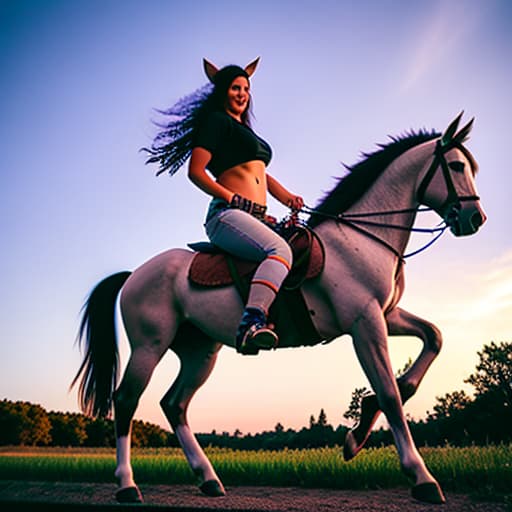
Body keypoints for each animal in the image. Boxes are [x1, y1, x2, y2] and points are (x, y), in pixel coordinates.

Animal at [71, 113, 484, 504]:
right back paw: (127, 485)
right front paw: (420, 476)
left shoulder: (386, 315)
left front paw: (360, 429)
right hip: (149, 347)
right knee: (126, 401)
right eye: (456, 166)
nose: (475, 219)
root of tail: (134, 274)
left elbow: (432, 340)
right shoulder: (364, 322)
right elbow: (390, 394)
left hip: (199, 351)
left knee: (175, 405)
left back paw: (209, 479)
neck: (361, 237)